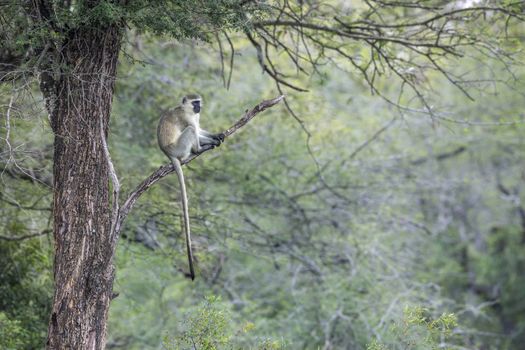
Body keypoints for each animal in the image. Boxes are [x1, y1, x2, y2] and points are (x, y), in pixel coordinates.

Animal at [156, 94, 221, 280]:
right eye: (195, 102)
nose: (199, 107)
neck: (187, 110)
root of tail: (168, 153)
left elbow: (200, 129)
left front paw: (217, 135)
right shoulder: (186, 118)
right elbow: (195, 130)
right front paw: (210, 141)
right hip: (179, 148)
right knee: (191, 132)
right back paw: (199, 149)